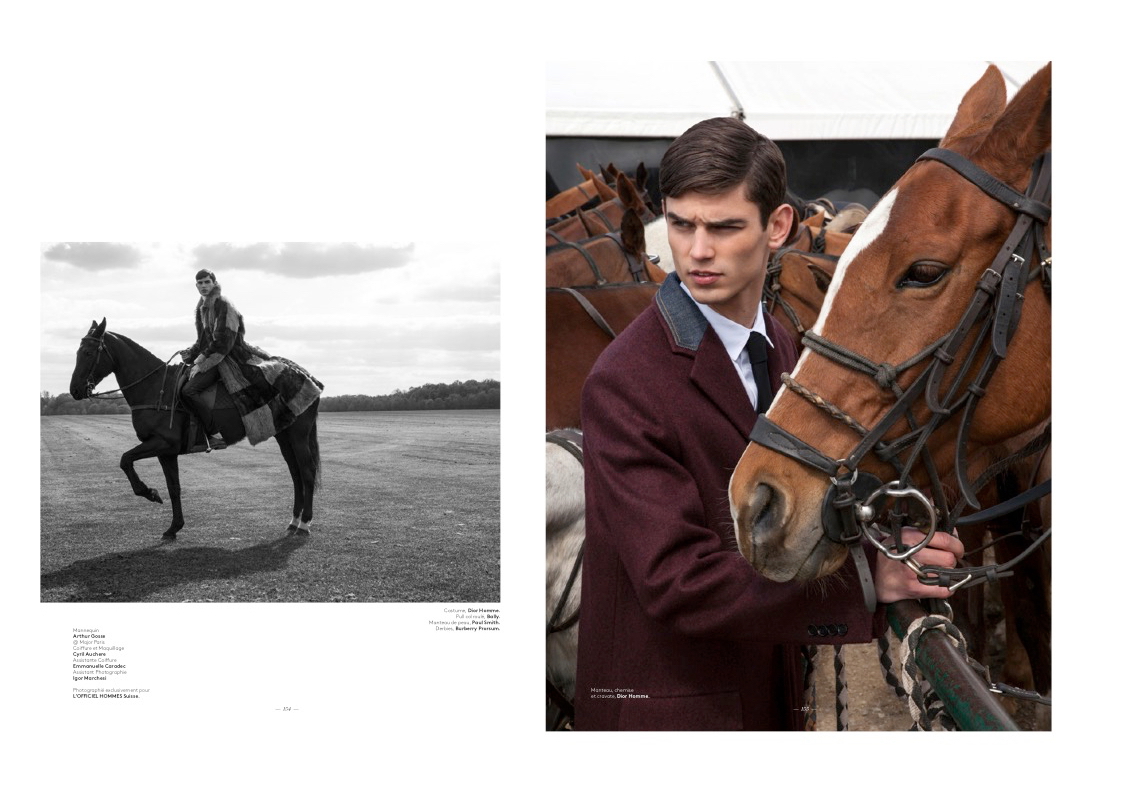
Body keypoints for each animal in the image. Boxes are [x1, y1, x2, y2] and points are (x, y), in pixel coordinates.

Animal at [69, 318, 321, 541]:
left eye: (88, 353)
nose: (75, 390)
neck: (155, 388)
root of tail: (309, 377)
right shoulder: (166, 452)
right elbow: (173, 487)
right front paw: (173, 527)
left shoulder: (161, 443)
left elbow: (125, 459)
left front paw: (149, 493)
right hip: (283, 434)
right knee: (296, 474)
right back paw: (293, 522)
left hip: (298, 435)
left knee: (307, 473)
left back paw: (304, 524)